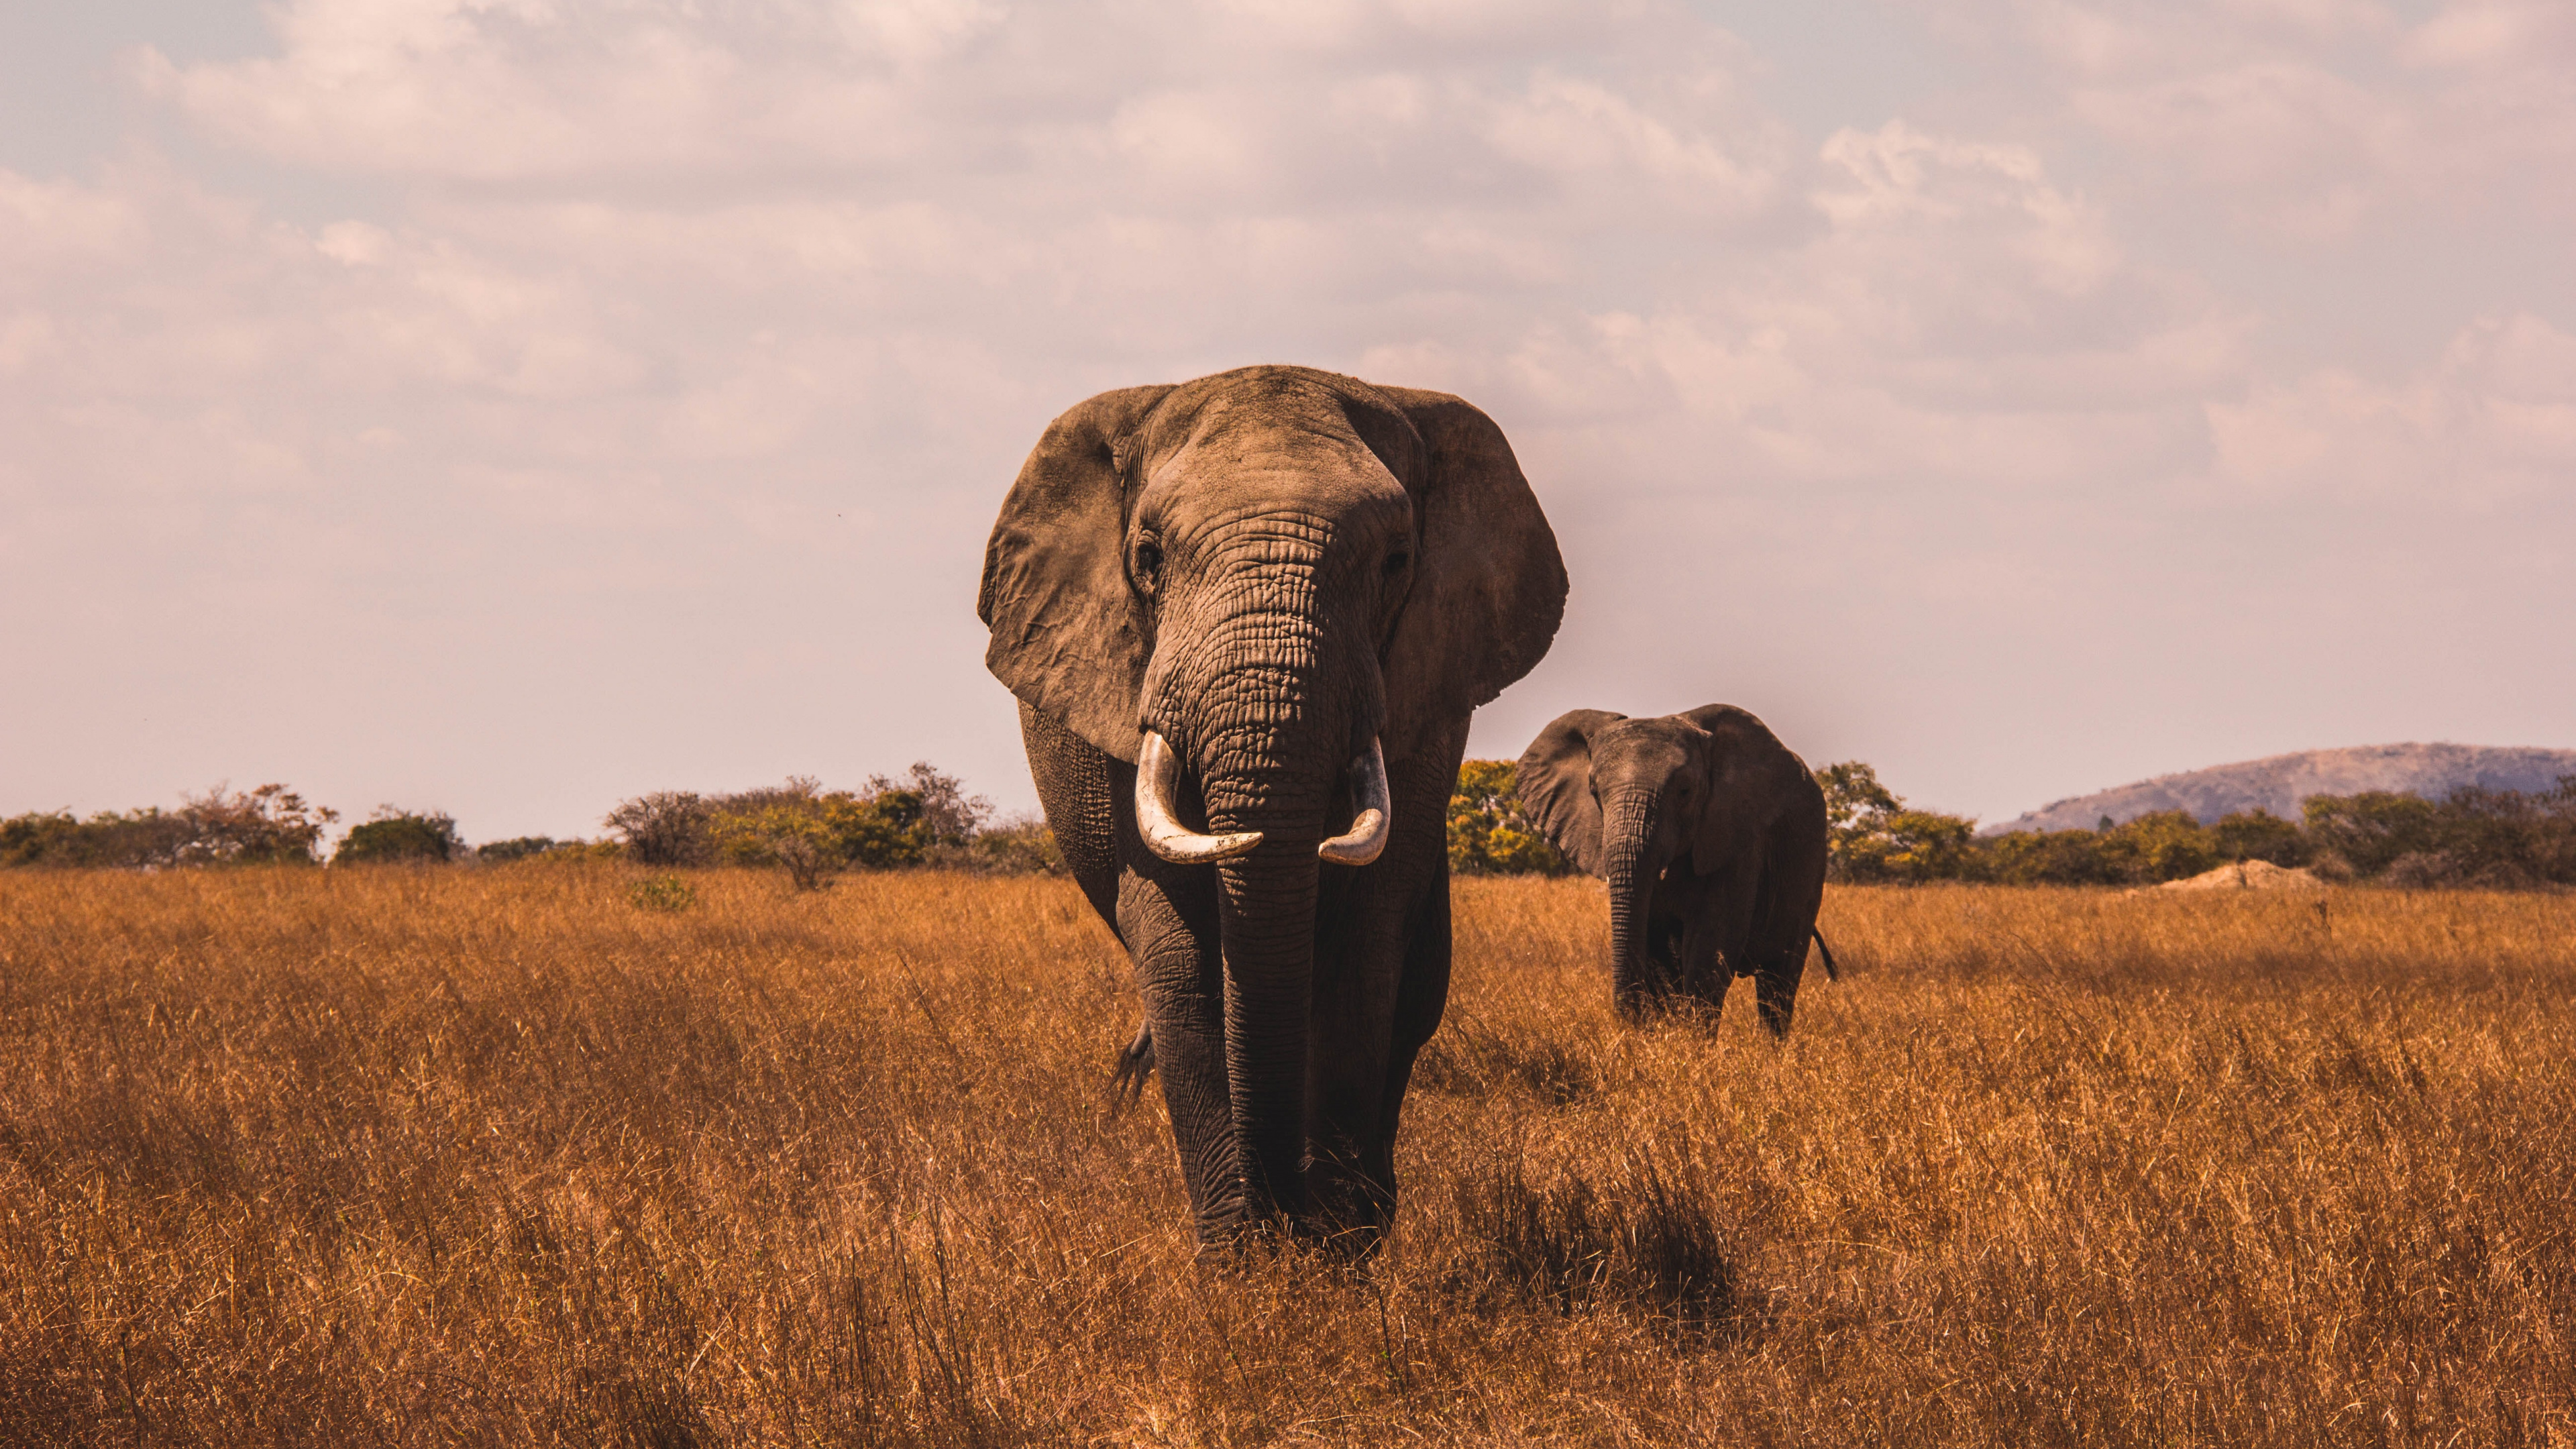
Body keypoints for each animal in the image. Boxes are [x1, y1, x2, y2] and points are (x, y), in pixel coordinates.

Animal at [977, 364, 1566, 1249]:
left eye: (1397, 561)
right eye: (1148, 558)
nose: (1283, 1211)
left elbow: (1366, 948)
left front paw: (1335, 1250)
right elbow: (1181, 956)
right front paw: (1243, 1259)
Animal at [1514, 704, 1836, 1033]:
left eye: (1685, 791)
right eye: (1594, 792)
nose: (1628, 1021)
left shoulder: (1738, 841)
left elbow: (1710, 949)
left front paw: (1692, 1043)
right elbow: (1658, 953)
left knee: (1778, 983)